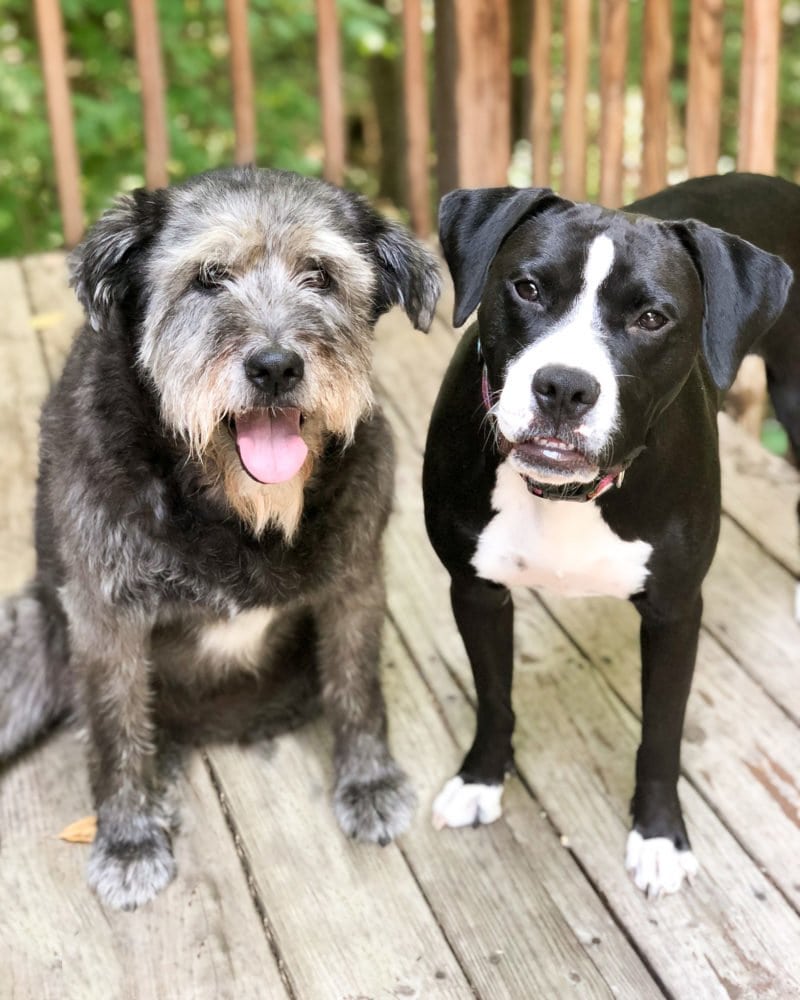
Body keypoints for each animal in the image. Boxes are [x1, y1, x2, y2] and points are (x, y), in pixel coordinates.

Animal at [0, 168, 438, 912]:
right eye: (209, 277)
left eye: (321, 275)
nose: (276, 366)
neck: (230, 511)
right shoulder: (106, 620)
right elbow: (115, 732)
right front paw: (128, 840)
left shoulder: (355, 586)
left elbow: (358, 688)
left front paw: (369, 782)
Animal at [422, 172, 796, 900]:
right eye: (527, 288)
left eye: (652, 318)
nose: (564, 386)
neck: (568, 494)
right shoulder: (475, 589)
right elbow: (494, 696)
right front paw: (481, 779)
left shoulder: (675, 612)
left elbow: (662, 731)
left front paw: (658, 835)